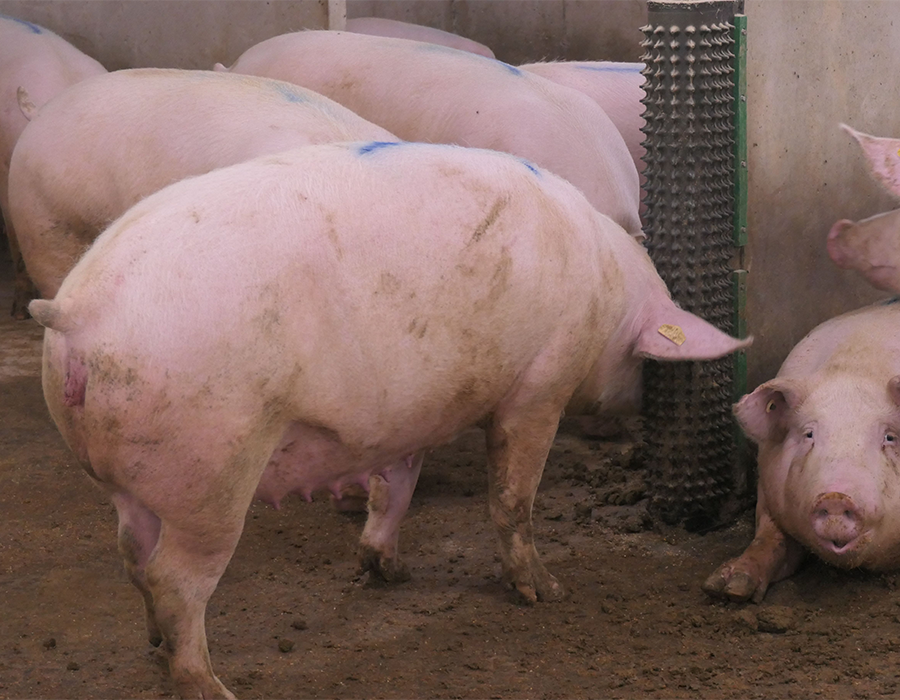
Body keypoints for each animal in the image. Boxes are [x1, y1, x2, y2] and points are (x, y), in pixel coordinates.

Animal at [30, 141, 749, 698]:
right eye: (645, 364)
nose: (635, 425)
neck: (609, 292)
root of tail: (77, 311)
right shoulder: (541, 384)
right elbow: (512, 496)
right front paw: (547, 593)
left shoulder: (411, 413)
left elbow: (392, 486)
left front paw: (387, 571)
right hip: (209, 465)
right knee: (174, 580)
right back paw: (210, 686)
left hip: (134, 479)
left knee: (132, 554)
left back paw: (154, 646)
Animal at [704, 299, 900, 603]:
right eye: (809, 434)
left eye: (889, 437)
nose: (836, 497)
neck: (855, 368)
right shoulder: (769, 487)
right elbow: (770, 538)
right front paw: (727, 587)